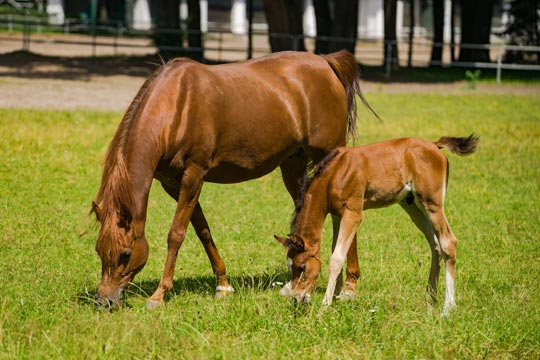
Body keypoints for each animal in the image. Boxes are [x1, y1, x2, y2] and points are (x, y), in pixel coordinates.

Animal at [89, 50, 376, 310]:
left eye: (126, 254)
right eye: (99, 250)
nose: (105, 301)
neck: (176, 106)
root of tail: (326, 62)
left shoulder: (193, 175)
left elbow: (176, 233)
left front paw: (159, 294)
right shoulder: (173, 183)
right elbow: (202, 230)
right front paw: (223, 285)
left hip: (328, 155)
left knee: (343, 218)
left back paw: (348, 287)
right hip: (292, 165)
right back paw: (296, 285)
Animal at [276, 134, 478, 316]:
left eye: (302, 267)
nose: (297, 299)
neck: (335, 172)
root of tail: (435, 145)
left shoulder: (353, 213)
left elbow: (336, 258)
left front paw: (325, 306)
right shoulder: (337, 215)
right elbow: (336, 251)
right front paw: (337, 296)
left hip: (432, 204)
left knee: (448, 243)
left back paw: (447, 308)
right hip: (413, 206)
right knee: (435, 245)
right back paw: (430, 300)